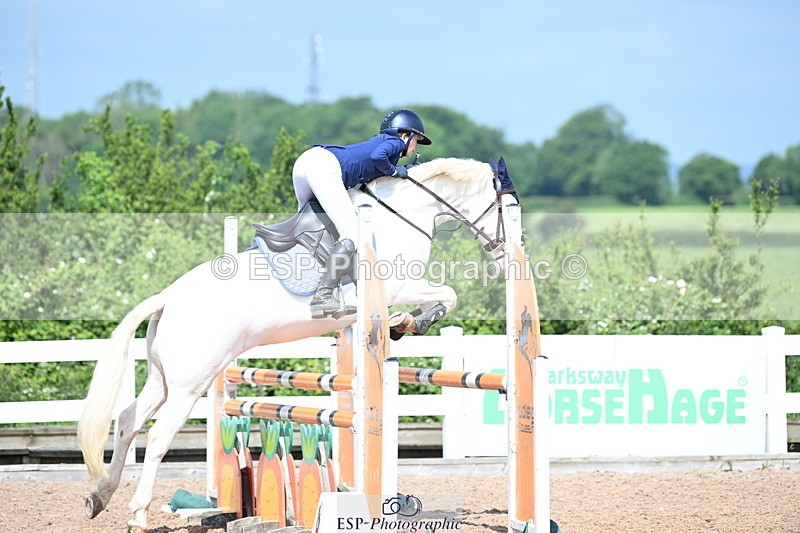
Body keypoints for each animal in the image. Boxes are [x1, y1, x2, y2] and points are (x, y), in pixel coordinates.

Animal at [77, 156, 519, 531]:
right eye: (509, 208)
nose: (505, 257)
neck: (404, 215)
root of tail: (168, 297)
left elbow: (441, 298)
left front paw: (405, 323)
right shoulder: (398, 287)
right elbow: (448, 294)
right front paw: (408, 322)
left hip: (163, 377)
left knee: (129, 420)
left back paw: (100, 497)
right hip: (191, 382)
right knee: (158, 436)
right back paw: (137, 515)